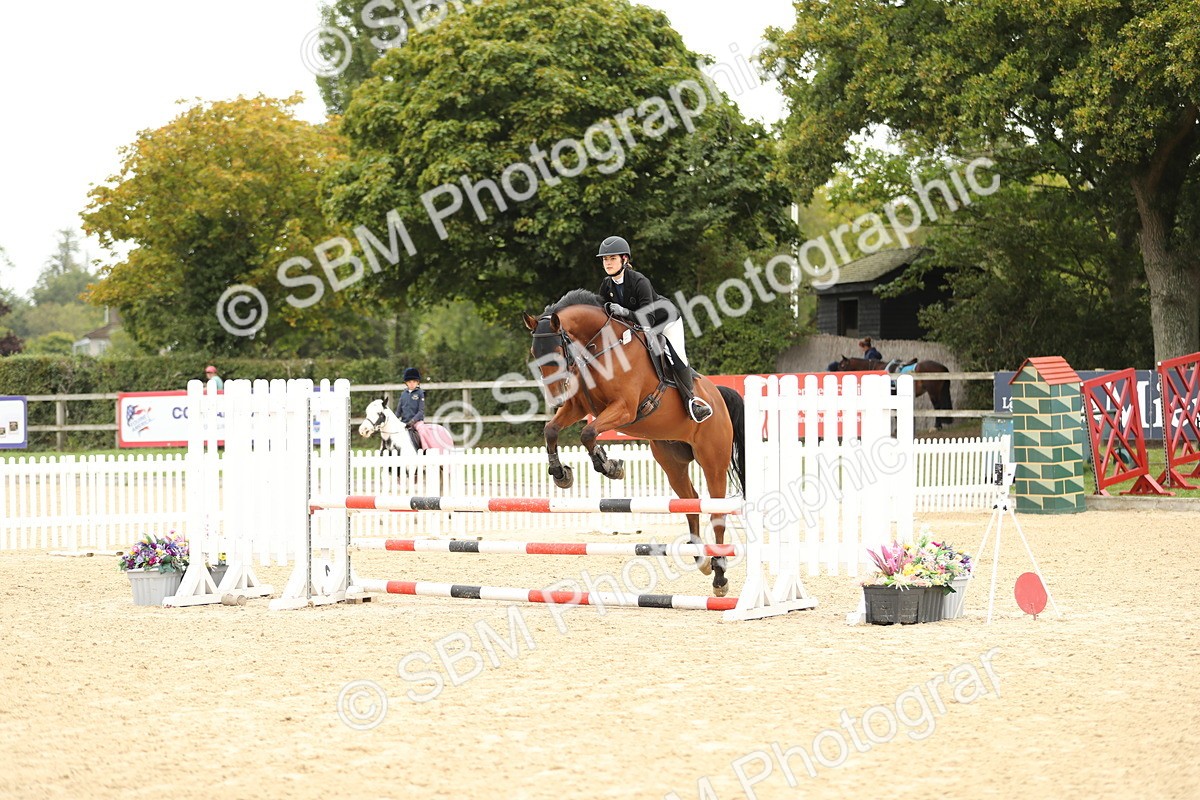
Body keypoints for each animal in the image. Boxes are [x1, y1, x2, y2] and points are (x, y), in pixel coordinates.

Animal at [522, 289, 746, 597]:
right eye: (535, 354)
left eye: (557, 351)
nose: (555, 397)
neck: (598, 347)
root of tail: (719, 396)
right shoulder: (579, 406)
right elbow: (552, 430)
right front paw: (561, 474)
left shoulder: (624, 408)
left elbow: (588, 434)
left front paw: (610, 467)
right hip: (671, 461)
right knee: (691, 501)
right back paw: (700, 559)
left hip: (713, 459)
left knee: (716, 512)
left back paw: (720, 576)